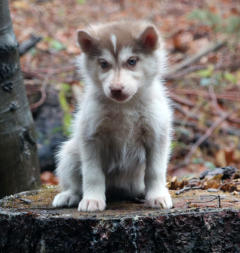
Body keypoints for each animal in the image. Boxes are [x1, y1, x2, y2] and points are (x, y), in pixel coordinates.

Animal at [52, 20, 172, 212]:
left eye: (132, 61)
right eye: (103, 64)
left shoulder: (157, 134)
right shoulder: (90, 137)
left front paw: (157, 196)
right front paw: (92, 200)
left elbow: (154, 171)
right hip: (69, 154)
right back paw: (69, 195)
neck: (124, 107)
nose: (116, 89)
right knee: (75, 184)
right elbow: (92, 174)